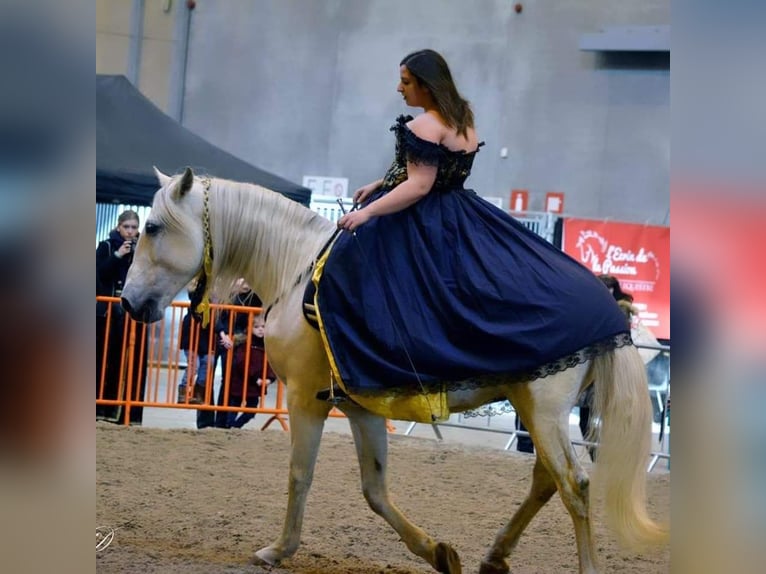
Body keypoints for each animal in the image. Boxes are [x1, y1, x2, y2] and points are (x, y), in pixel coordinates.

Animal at [123, 170, 668, 574]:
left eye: (152, 228)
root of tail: (610, 310)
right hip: (534, 410)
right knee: (546, 480)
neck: (296, 268)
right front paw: (438, 552)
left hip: (547, 413)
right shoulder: (359, 407)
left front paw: (278, 550)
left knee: (575, 487)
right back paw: (495, 556)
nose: (128, 302)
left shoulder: (303, 399)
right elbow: (375, 490)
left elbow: (300, 475)